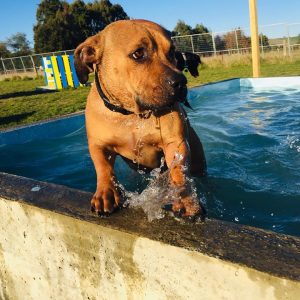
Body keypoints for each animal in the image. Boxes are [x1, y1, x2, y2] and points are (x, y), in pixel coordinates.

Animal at [74, 19, 206, 218]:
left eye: (172, 52)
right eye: (138, 53)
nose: (181, 82)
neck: (131, 114)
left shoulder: (175, 142)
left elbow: (179, 171)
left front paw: (184, 198)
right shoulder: (98, 145)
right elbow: (103, 168)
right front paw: (106, 192)